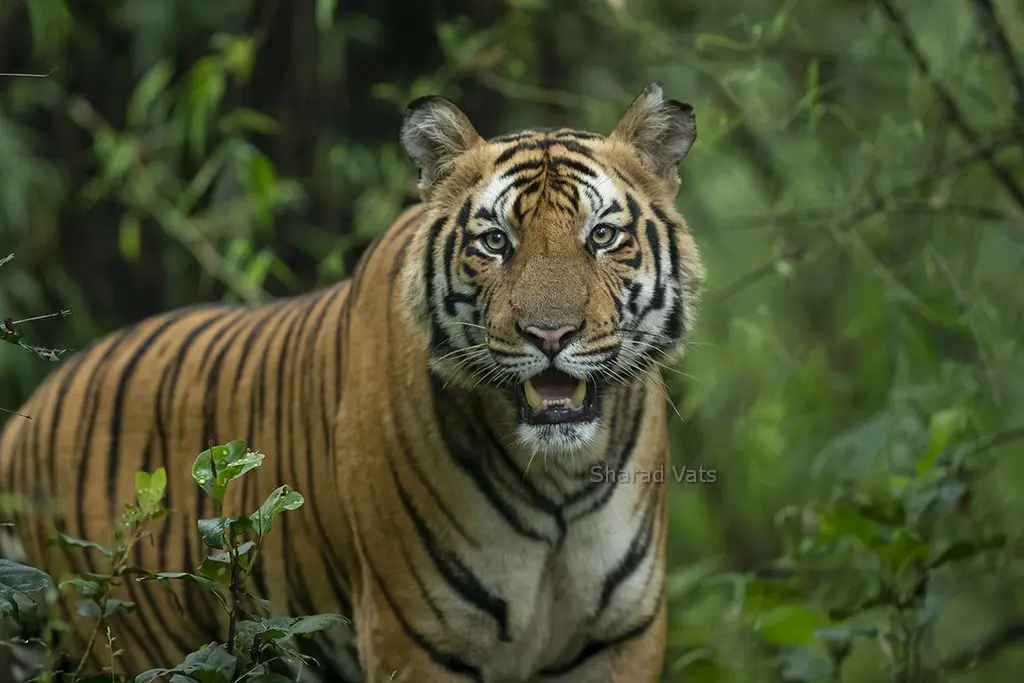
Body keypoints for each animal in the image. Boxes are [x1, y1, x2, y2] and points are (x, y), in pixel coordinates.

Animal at [0, 82, 704, 679]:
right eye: (496, 242)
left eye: (602, 235)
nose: (550, 336)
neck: (559, 476)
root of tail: (33, 408)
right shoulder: (414, 635)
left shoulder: (622, 636)